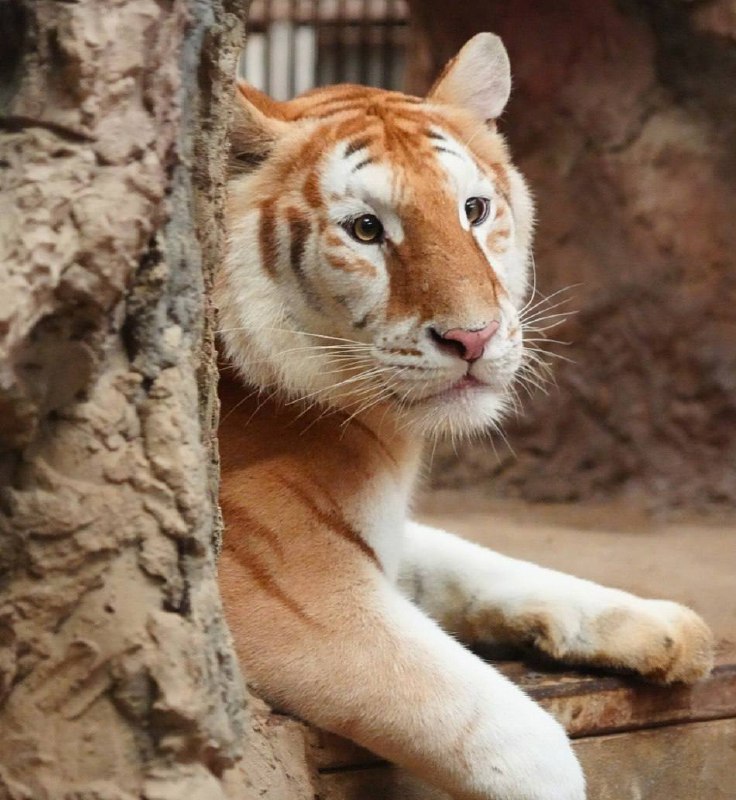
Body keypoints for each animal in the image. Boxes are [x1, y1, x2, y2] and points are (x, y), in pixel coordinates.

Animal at [214, 32, 712, 800]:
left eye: (473, 210)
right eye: (366, 230)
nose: (473, 338)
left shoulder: (379, 533)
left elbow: (477, 560)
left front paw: (661, 624)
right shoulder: (283, 589)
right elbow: (514, 735)